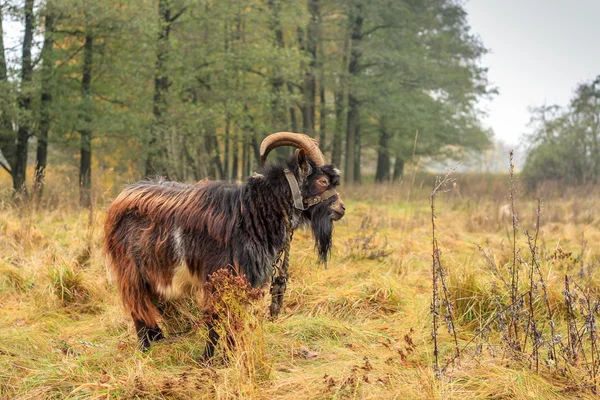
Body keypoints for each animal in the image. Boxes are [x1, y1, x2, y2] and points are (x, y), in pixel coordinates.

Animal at [105, 133, 344, 358]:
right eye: (322, 181)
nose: (341, 209)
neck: (252, 211)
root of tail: (122, 198)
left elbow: (233, 320)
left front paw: (229, 355)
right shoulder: (217, 277)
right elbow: (216, 319)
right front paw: (209, 359)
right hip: (131, 271)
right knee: (138, 309)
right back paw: (146, 350)